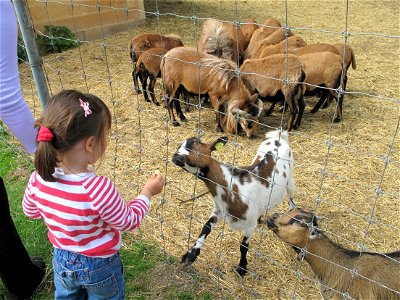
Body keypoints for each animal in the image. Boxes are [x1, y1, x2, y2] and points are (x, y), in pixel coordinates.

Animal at [172, 130, 296, 276]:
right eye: (179, 145)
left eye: (194, 143)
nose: (175, 157)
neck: (233, 186)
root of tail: (278, 136)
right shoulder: (219, 210)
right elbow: (206, 227)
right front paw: (190, 256)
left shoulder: (249, 225)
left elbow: (243, 246)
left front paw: (242, 268)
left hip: (290, 179)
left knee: (292, 200)